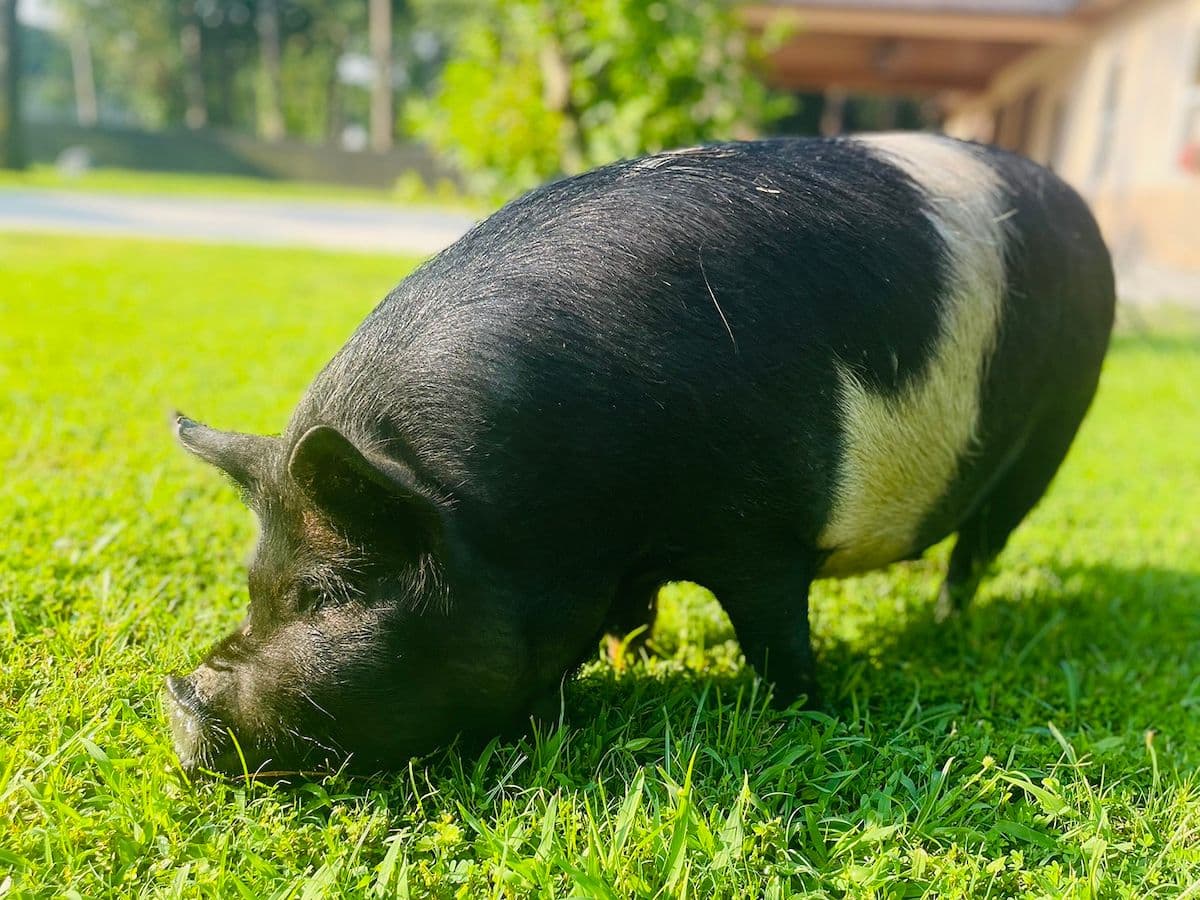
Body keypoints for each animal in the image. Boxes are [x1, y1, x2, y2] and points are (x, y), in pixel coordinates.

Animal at [166, 132, 1113, 777]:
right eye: (253, 586)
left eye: (325, 595)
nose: (180, 699)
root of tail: (1078, 205)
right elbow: (637, 614)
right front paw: (636, 661)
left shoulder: (762, 532)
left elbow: (776, 632)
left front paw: (801, 711)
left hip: (1057, 431)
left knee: (981, 543)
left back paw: (946, 623)